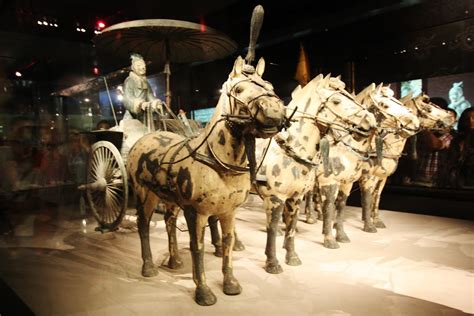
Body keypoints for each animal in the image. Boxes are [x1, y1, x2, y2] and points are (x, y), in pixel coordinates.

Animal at [126, 55, 286, 304]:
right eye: (239, 89)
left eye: (269, 85)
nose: (274, 112)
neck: (217, 161)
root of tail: (143, 139)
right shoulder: (196, 213)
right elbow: (197, 247)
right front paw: (203, 291)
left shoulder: (228, 211)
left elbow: (228, 243)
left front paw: (230, 283)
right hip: (146, 195)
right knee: (143, 225)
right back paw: (149, 267)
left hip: (170, 200)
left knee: (169, 221)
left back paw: (174, 260)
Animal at [254, 73, 376, 272]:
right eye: (336, 100)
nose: (371, 121)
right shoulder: (276, 197)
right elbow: (272, 227)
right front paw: (272, 263)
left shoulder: (296, 197)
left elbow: (292, 226)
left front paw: (292, 256)